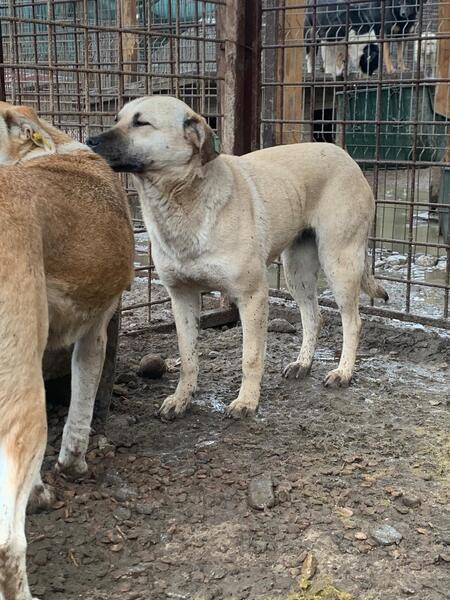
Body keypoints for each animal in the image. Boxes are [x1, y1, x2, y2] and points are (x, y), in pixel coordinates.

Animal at [0, 102, 134, 600]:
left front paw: (39, 490)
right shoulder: (95, 332)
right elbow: (81, 405)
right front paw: (72, 466)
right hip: (24, 407)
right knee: (7, 542)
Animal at [87, 95, 388, 421]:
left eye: (141, 122)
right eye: (117, 119)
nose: (89, 141)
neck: (182, 200)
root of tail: (345, 155)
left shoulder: (252, 295)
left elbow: (251, 357)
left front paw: (247, 401)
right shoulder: (182, 297)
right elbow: (187, 356)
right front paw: (181, 399)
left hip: (339, 261)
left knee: (353, 321)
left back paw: (343, 372)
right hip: (297, 271)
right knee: (313, 316)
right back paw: (303, 363)